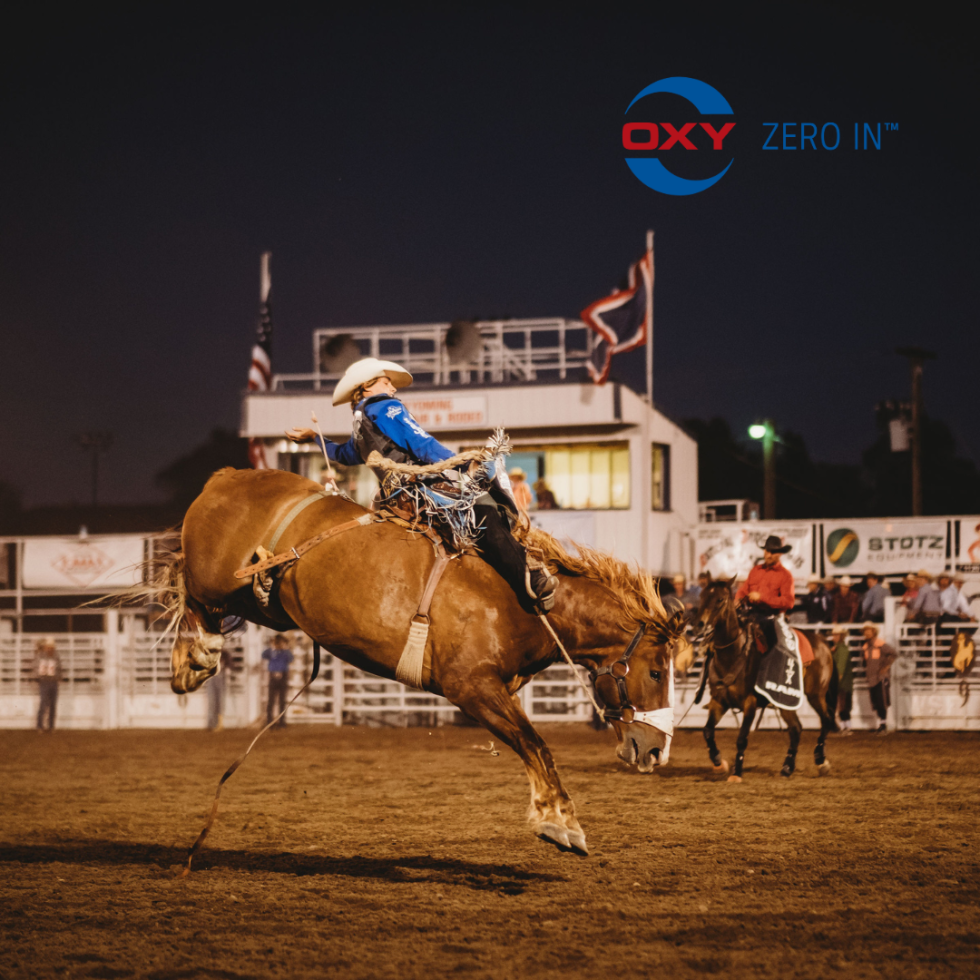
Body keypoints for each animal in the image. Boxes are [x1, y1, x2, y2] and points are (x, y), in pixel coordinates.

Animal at [155, 464, 688, 852]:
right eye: (656, 670)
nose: (657, 752)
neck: (528, 598)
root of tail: (225, 477)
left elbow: (533, 745)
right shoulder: (473, 688)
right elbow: (537, 745)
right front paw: (560, 824)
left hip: (273, 608)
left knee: (216, 603)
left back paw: (193, 661)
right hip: (219, 578)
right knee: (190, 587)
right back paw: (195, 655)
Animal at [692, 580, 840, 780]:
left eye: (720, 599)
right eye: (702, 596)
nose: (700, 625)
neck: (734, 654)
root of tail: (822, 642)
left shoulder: (750, 703)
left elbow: (742, 738)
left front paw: (737, 772)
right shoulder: (719, 701)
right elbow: (707, 731)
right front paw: (718, 762)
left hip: (815, 694)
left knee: (826, 719)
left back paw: (821, 761)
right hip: (785, 701)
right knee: (796, 728)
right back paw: (787, 767)